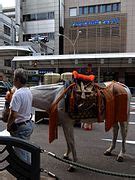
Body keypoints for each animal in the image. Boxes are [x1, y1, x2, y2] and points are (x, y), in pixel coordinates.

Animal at [1, 81, 131, 171]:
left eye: (9, 101)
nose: (3, 117)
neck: (56, 97)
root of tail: (124, 87)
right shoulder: (64, 123)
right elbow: (67, 140)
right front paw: (67, 155)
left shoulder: (68, 123)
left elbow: (72, 141)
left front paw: (73, 164)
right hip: (113, 116)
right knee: (115, 130)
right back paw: (110, 150)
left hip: (123, 118)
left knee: (124, 133)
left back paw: (121, 154)